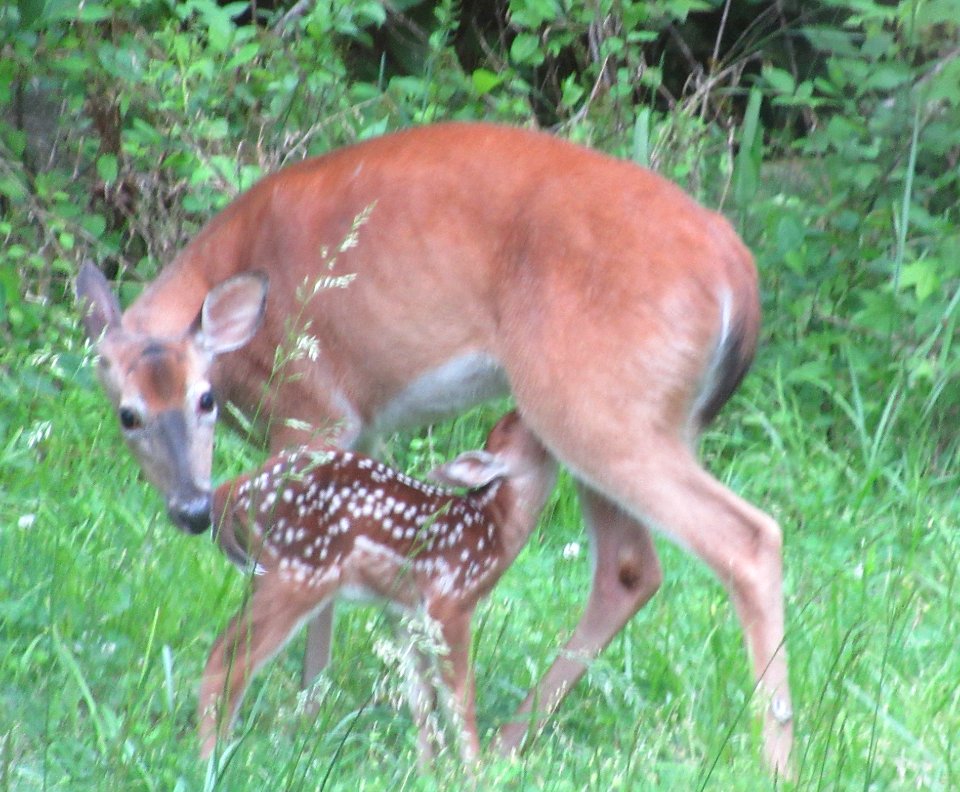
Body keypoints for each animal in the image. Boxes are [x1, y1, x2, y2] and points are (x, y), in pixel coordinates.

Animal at [204, 408, 556, 760]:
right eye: (514, 425)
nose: (518, 408)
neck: (495, 529)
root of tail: (238, 488)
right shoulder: (449, 603)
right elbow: (460, 699)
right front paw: (474, 770)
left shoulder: (406, 613)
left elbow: (421, 699)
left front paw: (426, 768)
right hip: (298, 573)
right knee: (228, 660)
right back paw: (212, 756)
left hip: (268, 575)